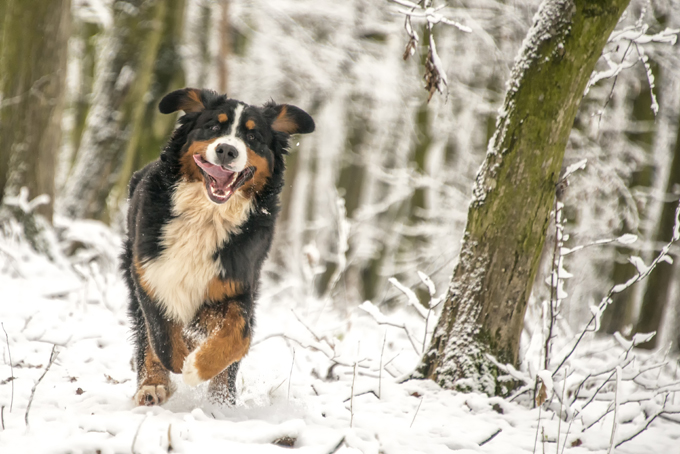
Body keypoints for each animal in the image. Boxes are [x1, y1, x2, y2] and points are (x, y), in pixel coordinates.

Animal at [120, 88, 316, 404]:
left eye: (253, 136)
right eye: (213, 126)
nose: (227, 150)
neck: (207, 215)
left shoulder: (238, 285)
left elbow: (237, 337)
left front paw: (197, 368)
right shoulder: (150, 273)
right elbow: (161, 335)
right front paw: (179, 362)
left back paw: (220, 401)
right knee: (145, 335)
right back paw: (152, 386)